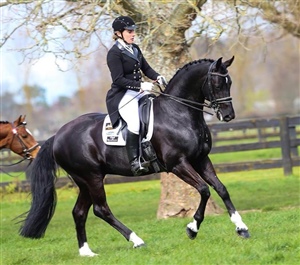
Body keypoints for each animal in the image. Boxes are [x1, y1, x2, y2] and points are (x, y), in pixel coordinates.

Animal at [18, 56, 248, 256]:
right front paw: (192, 228)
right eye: (216, 83)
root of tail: (57, 135)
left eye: (229, 82)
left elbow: (221, 189)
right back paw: (137, 240)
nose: (228, 115)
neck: (178, 113)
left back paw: (87, 252)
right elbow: (204, 190)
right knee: (101, 209)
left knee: (79, 212)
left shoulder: (200, 159)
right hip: (91, 177)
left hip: (84, 181)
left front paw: (241, 228)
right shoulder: (178, 164)